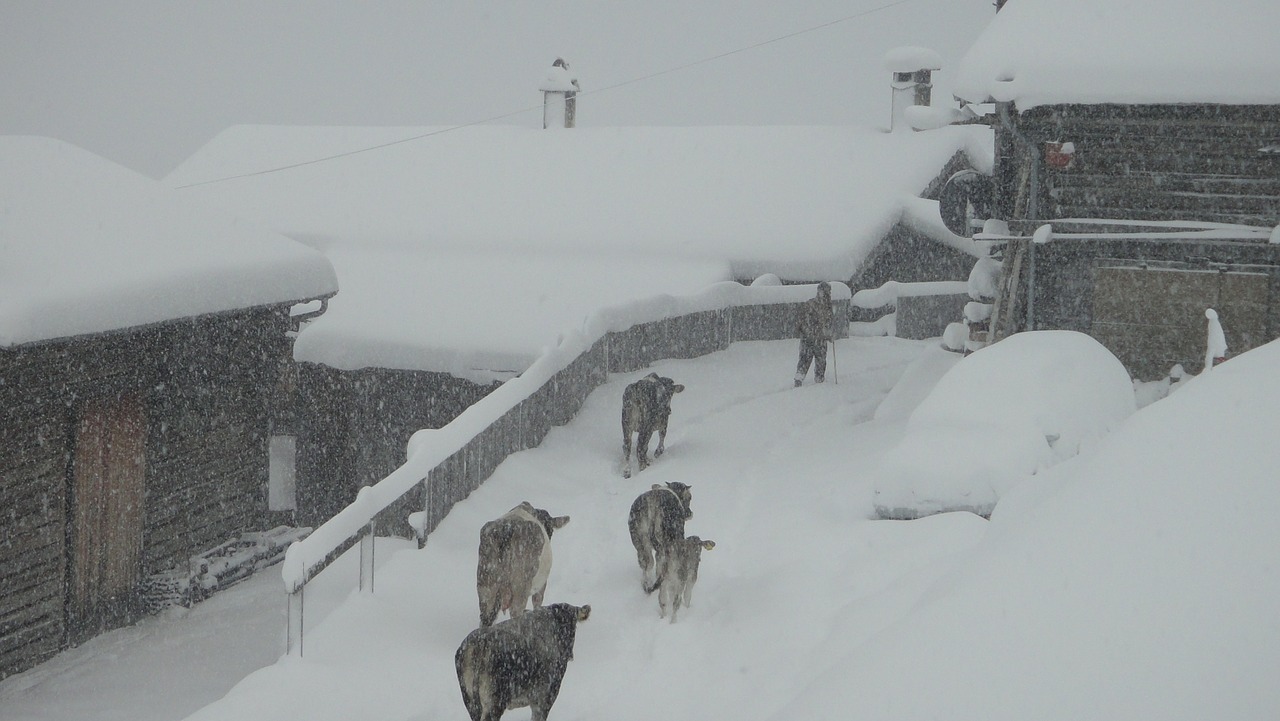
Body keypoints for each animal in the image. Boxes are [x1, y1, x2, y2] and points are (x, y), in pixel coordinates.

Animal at [455, 601, 588, 721]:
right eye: (572, 626)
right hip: (494, 704)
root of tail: (479, 643)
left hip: (470, 702)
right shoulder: (545, 698)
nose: (570, 655)